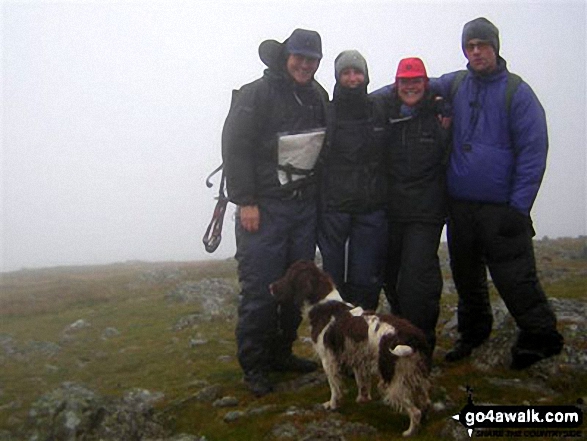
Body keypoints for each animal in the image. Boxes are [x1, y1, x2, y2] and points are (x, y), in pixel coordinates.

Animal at [272, 260, 432, 434]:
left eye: (289, 275)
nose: (271, 287)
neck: (324, 306)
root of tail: (414, 336)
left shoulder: (328, 359)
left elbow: (334, 387)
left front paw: (332, 405)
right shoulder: (358, 360)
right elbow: (362, 384)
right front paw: (362, 400)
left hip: (392, 379)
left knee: (415, 412)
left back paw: (409, 432)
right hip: (416, 373)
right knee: (425, 401)